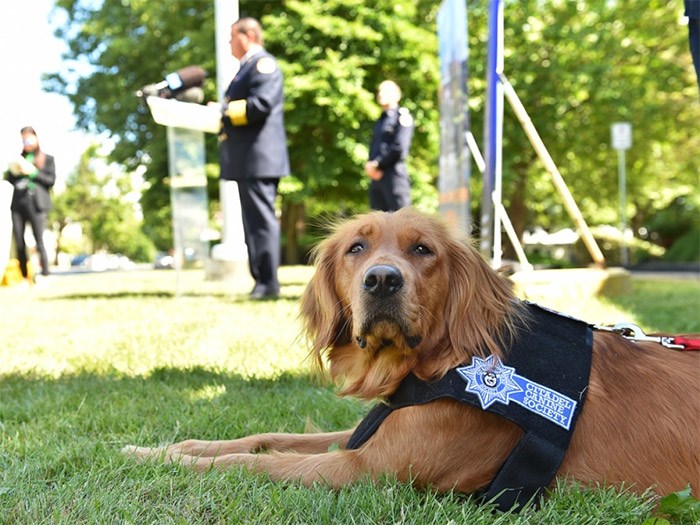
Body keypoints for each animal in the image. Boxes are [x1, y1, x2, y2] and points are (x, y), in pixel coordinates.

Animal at [121, 207, 700, 510]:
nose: (382, 280)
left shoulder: (364, 468)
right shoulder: (372, 432)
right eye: (356, 248)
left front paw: (163, 459)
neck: (436, 364)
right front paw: (172, 446)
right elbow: (262, 438)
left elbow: (251, 462)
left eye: (423, 250)